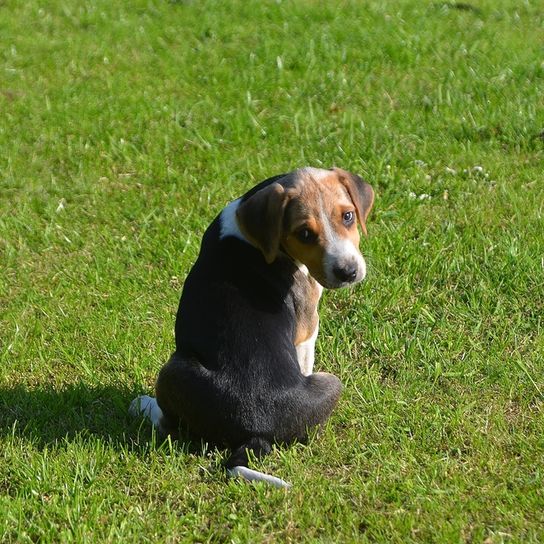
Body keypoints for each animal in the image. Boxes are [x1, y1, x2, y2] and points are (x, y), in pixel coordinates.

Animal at [131, 167, 374, 488]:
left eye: (347, 216)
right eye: (304, 234)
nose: (348, 272)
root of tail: (255, 432)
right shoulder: (308, 327)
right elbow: (305, 357)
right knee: (169, 424)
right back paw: (143, 404)